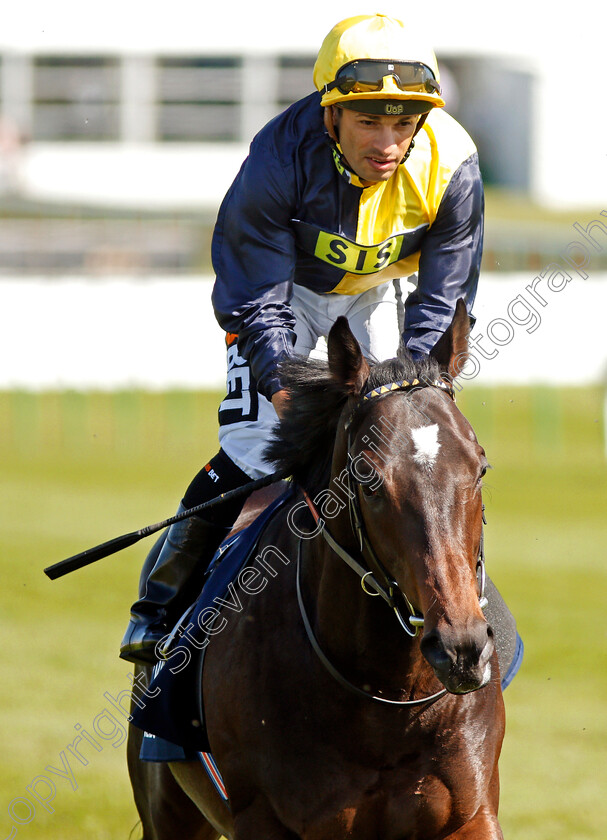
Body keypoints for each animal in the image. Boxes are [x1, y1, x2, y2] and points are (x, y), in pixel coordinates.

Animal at [129, 304, 508, 840]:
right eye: (368, 480)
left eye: (479, 469)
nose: (461, 648)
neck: (386, 698)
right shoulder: (263, 818)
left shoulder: (470, 814)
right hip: (167, 805)